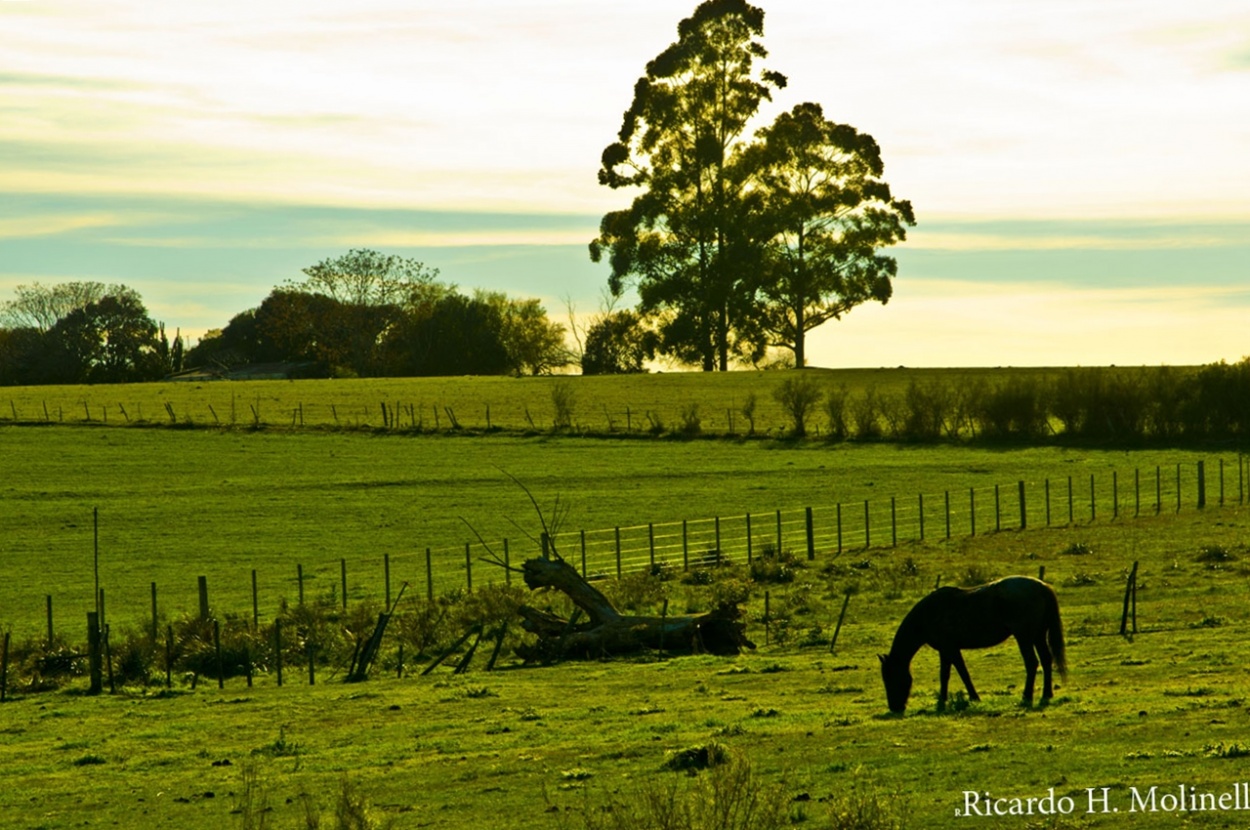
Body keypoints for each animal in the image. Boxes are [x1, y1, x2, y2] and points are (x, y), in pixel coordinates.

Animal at [880, 577, 1065, 715]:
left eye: (891, 678)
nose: (895, 708)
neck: (929, 613)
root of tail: (1042, 587)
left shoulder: (950, 649)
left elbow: (961, 673)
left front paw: (972, 697)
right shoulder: (945, 650)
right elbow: (946, 674)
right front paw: (944, 699)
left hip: (1024, 636)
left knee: (1032, 663)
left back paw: (1026, 697)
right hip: (1038, 636)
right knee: (1046, 660)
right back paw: (1047, 694)